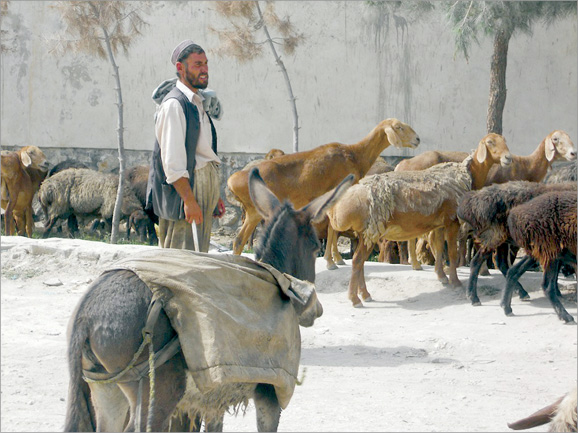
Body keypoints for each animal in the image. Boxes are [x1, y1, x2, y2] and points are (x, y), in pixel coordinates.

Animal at [63, 170, 352, 430]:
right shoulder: (270, 390)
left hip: (105, 389)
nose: (316, 309)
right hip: (156, 392)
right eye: (315, 246)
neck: (273, 275)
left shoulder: (211, 400)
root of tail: (85, 315)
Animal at [225, 118, 418, 262]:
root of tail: (233, 180)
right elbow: (333, 227)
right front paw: (333, 260)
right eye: (399, 127)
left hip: (254, 212)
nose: (417, 139)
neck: (355, 155)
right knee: (242, 239)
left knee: (238, 240)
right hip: (255, 211)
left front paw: (332, 258)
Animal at [326, 133, 510, 306]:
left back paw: (365, 294)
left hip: (366, 233)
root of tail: (338, 209)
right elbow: (451, 251)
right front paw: (455, 281)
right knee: (357, 261)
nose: (508, 158)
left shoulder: (440, 223)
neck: (467, 174)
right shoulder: (452, 221)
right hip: (371, 231)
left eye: (504, 140)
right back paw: (355, 298)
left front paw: (441, 276)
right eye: (490, 142)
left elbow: (438, 248)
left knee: (360, 262)